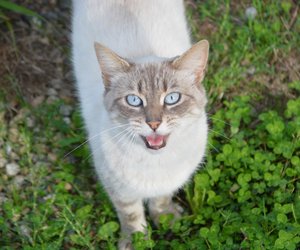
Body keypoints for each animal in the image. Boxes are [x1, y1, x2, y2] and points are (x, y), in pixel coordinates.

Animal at [72, 0, 209, 249]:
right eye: (134, 101)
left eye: (172, 98)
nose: (154, 123)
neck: (154, 163)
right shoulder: (118, 187)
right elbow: (131, 214)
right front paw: (136, 241)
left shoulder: (169, 181)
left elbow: (161, 199)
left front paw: (165, 218)